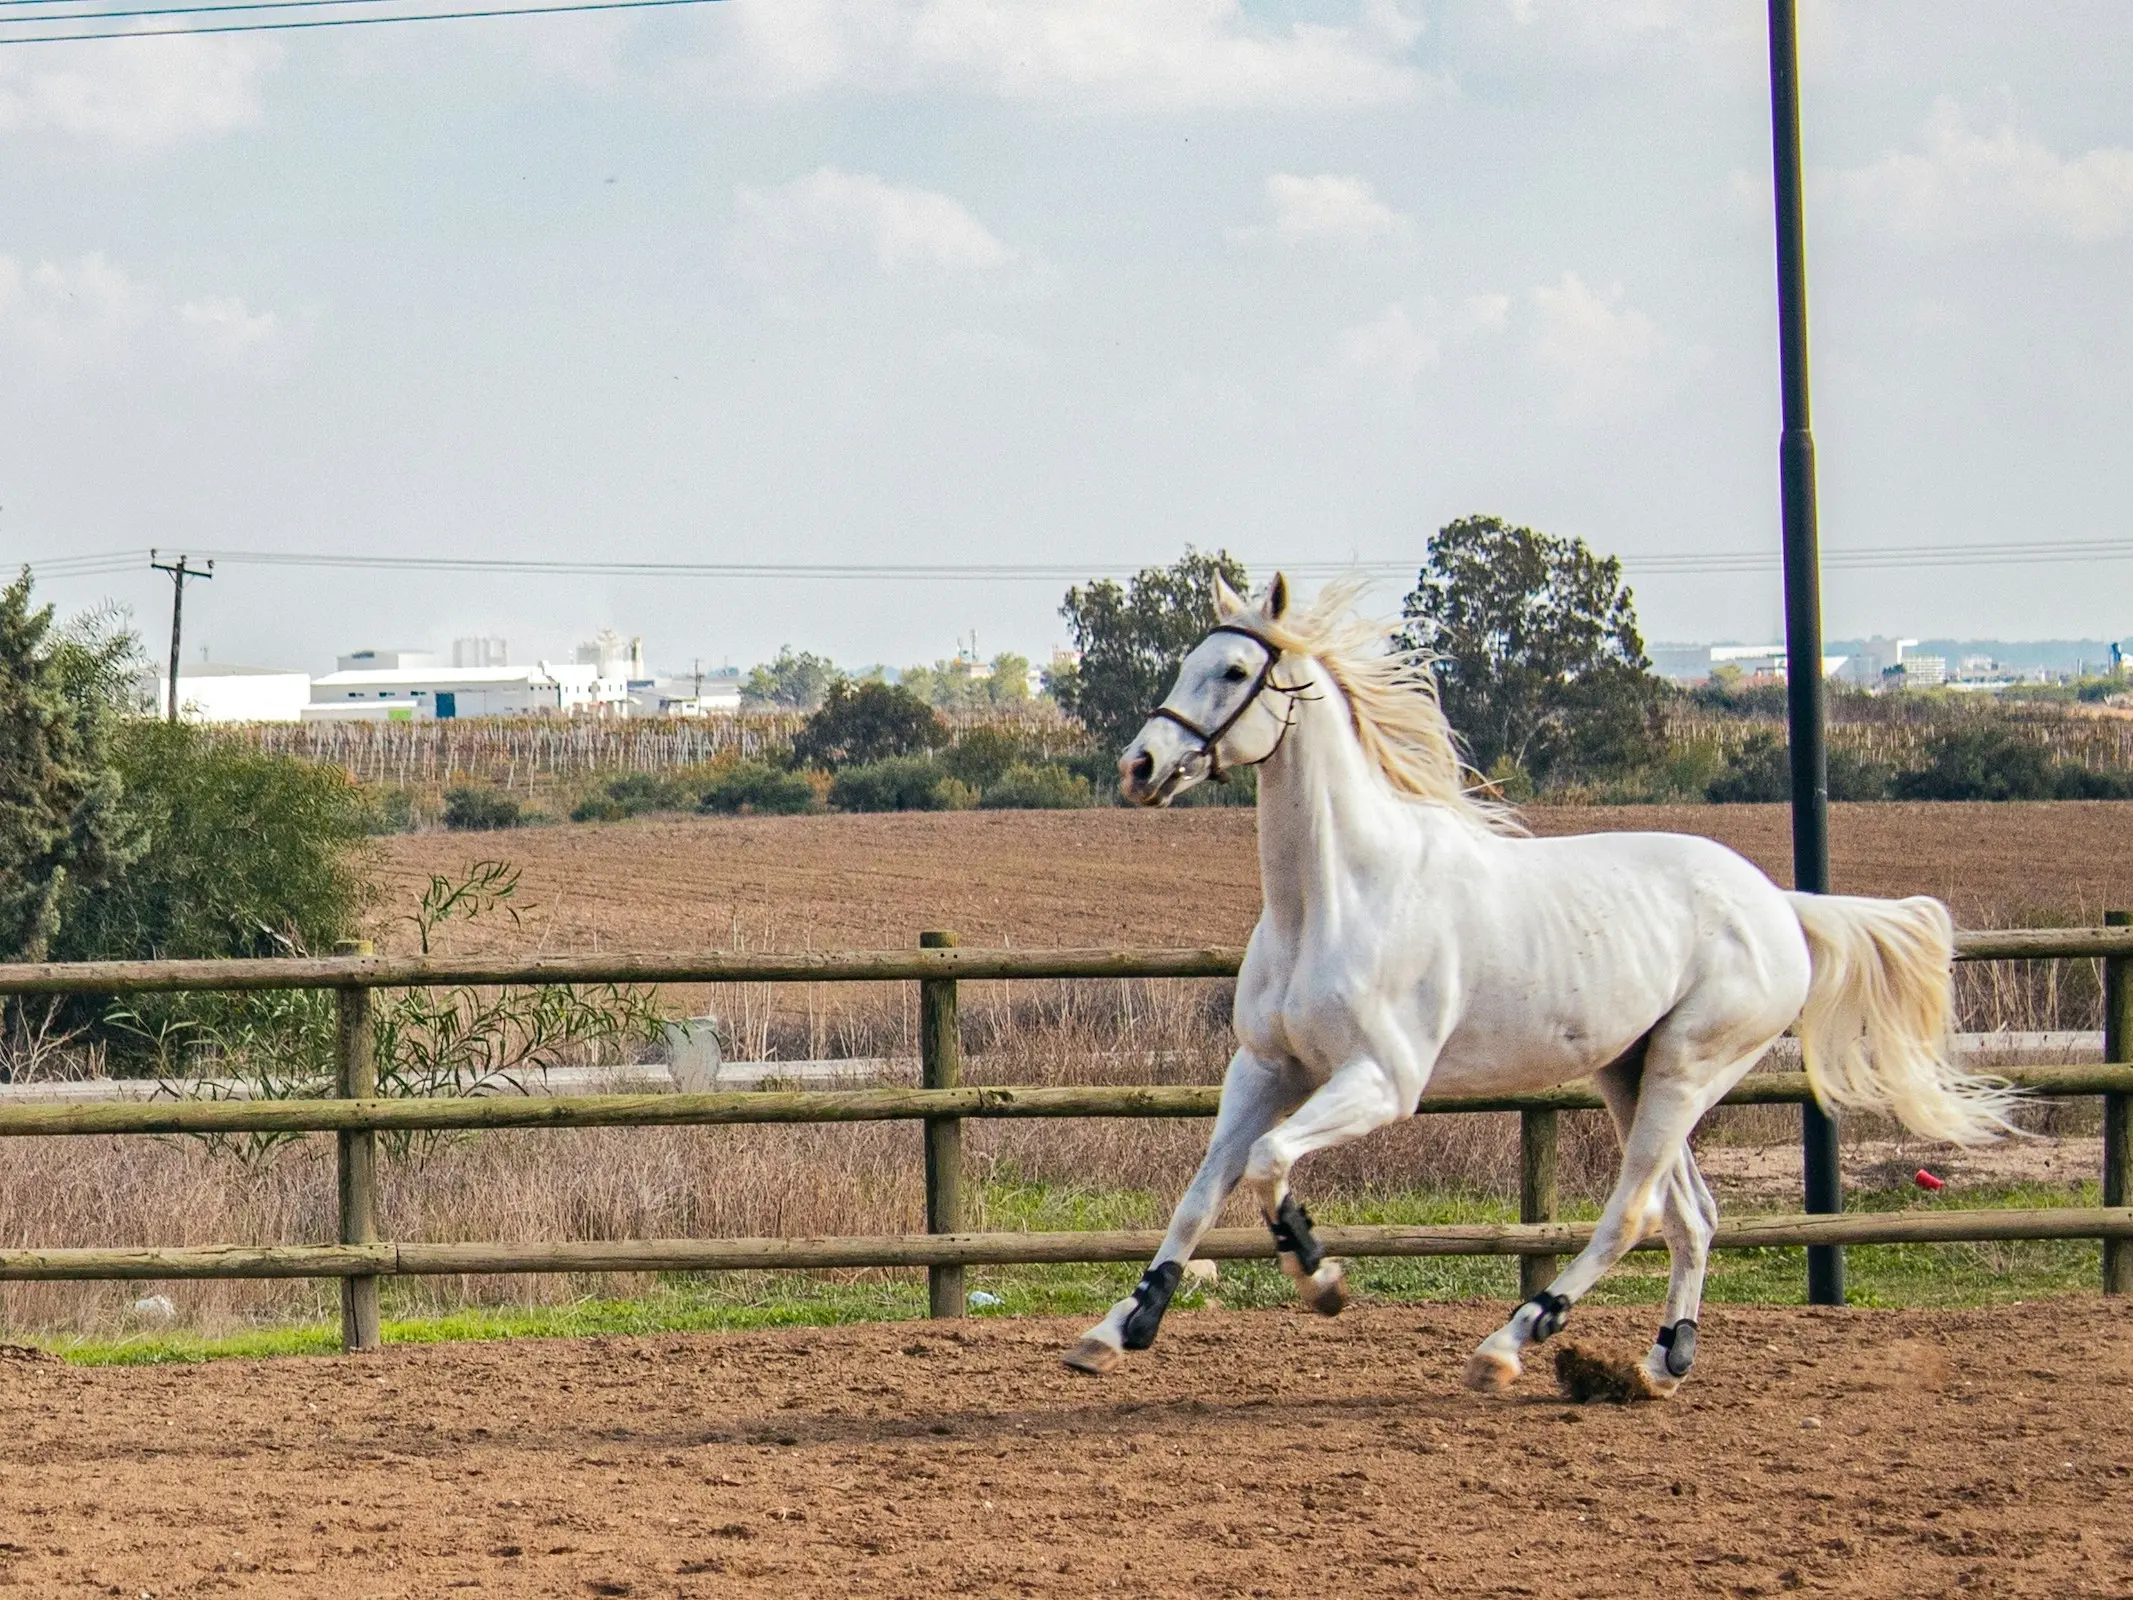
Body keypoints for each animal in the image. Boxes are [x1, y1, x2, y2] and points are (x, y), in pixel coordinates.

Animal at [1066, 580, 2013, 1399]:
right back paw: (1661, 1360)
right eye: (1188, 660)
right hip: (1630, 1073)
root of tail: (1779, 903)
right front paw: (1118, 1329)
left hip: (1688, 1069)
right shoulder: (1264, 1069)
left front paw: (1320, 1275)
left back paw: (1510, 1343)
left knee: (1635, 1214)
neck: (1337, 894)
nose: (1139, 766)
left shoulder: (1380, 1083)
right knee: (1693, 1215)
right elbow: (1201, 1189)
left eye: (1233, 671)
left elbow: (1267, 1162)